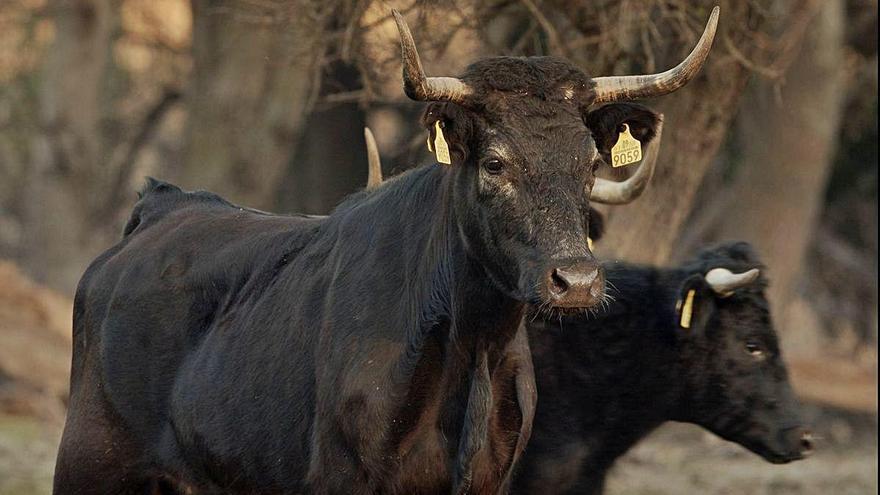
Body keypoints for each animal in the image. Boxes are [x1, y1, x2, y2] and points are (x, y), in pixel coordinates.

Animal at [53, 7, 716, 495]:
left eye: (589, 164)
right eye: (495, 162)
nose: (575, 282)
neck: (471, 349)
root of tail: (164, 204)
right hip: (90, 465)